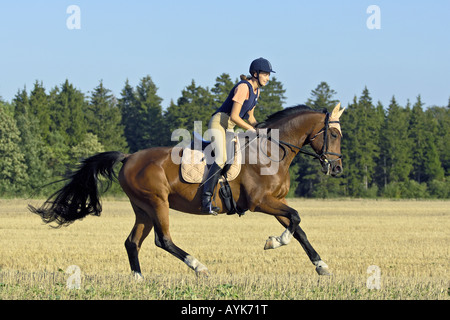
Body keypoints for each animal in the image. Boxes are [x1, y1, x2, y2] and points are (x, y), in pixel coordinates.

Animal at [29, 104, 344, 278]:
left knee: (133, 242)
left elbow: (298, 228)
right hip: (157, 202)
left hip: (142, 208)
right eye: (334, 134)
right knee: (163, 240)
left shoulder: (275, 200)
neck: (271, 150)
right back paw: (199, 267)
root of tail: (129, 157)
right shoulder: (261, 202)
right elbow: (297, 219)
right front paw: (274, 241)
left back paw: (139, 280)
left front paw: (321, 266)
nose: (337, 168)